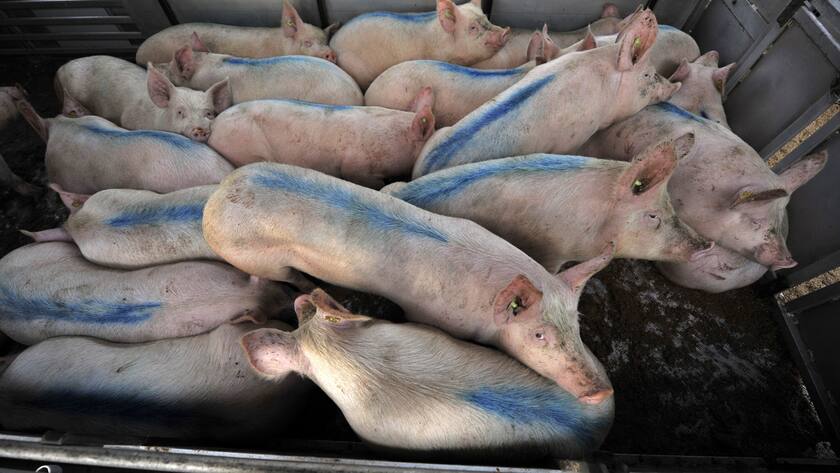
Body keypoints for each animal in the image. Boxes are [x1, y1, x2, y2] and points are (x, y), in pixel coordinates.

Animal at [204, 163, 615, 403]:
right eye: (539, 335)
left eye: (577, 325)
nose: (602, 391)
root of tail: (216, 197)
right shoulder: (427, 312)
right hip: (256, 258)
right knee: (290, 276)